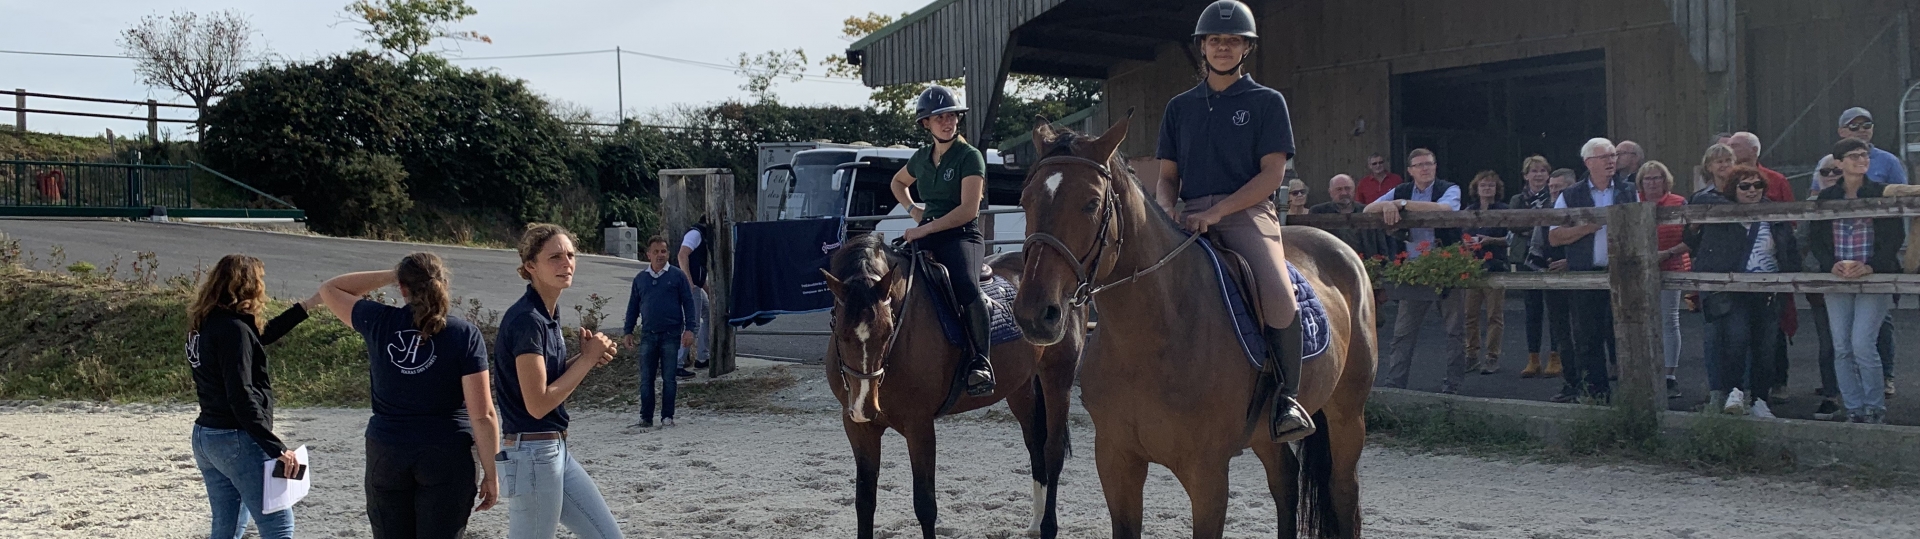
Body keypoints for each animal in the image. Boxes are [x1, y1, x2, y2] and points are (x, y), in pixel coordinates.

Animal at [825, 234, 1090, 537]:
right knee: (1035, 443)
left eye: (888, 330)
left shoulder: (919, 426)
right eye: (840, 331)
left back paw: (1047, 526)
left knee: (1052, 451)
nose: (865, 406)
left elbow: (925, 505)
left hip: (1058, 380)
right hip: (1021, 388)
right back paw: (1035, 522)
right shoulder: (858, 428)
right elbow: (865, 500)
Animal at [1013, 118, 1374, 537]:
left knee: (1345, 495)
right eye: (1025, 200)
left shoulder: (1208, 474)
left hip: (1347, 416)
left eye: (1090, 203)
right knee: (1286, 480)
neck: (1152, 338)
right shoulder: (1116, 459)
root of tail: (1340, 247)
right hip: (1267, 435)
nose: (1035, 314)